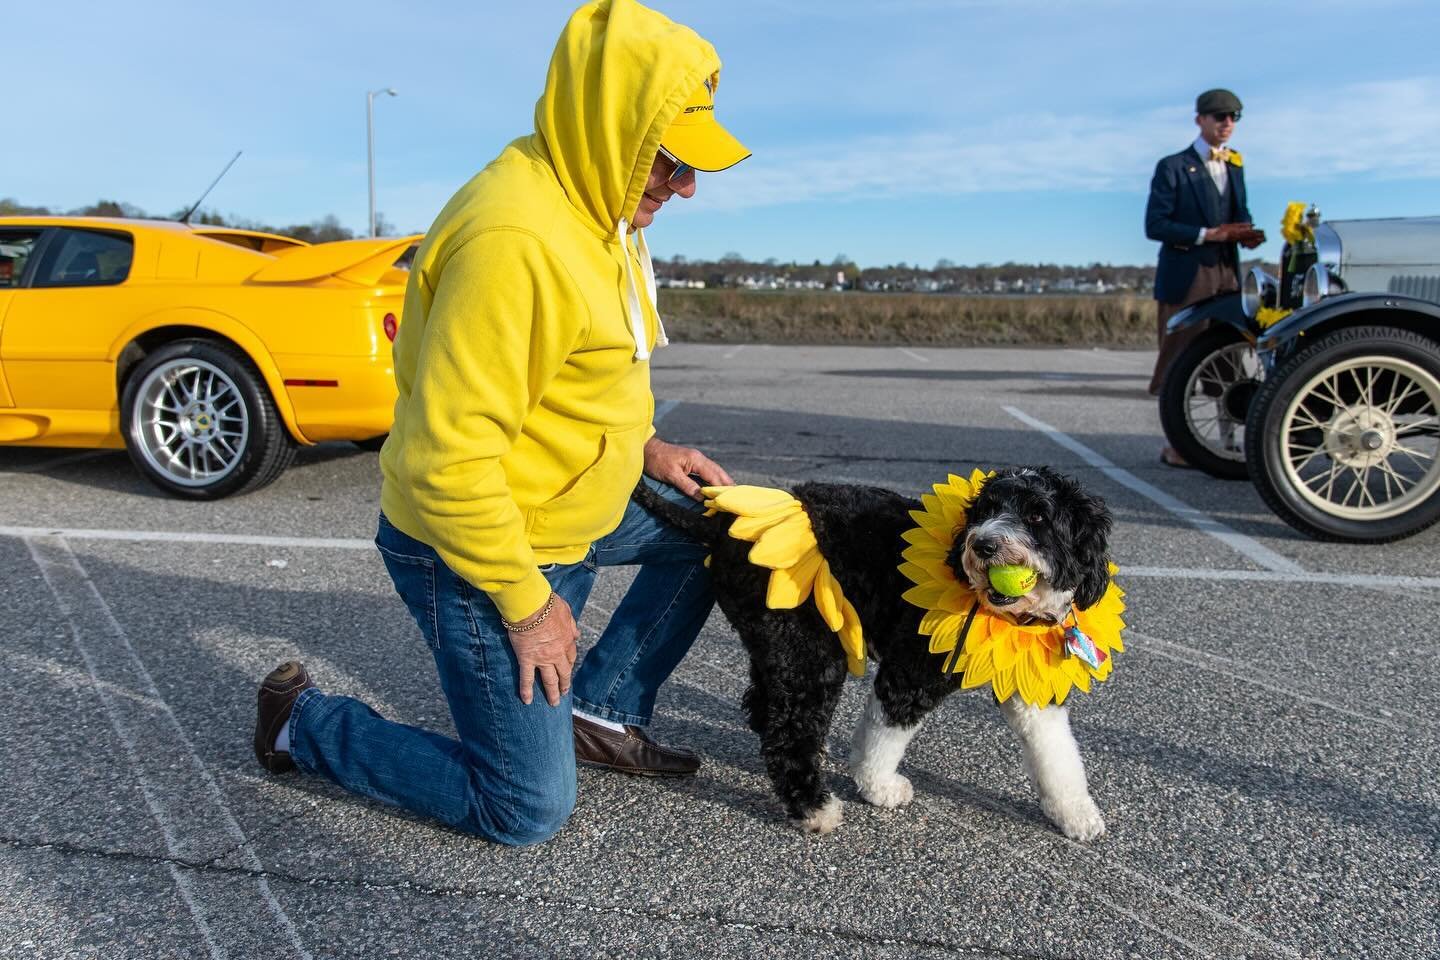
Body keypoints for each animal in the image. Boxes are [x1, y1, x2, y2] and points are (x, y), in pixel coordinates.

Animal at [636, 466, 1117, 840]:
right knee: (787, 732)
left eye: (1038, 515)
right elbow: (885, 737)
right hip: (812, 652)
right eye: (986, 511)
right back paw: (813, 806)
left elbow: (1056, 753)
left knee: (766, 706)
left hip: (780, 642)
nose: (983, 544)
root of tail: (724, 527)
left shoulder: (1034, 691)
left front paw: (1075, 814)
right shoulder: (910, 673)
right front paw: (877, 786)